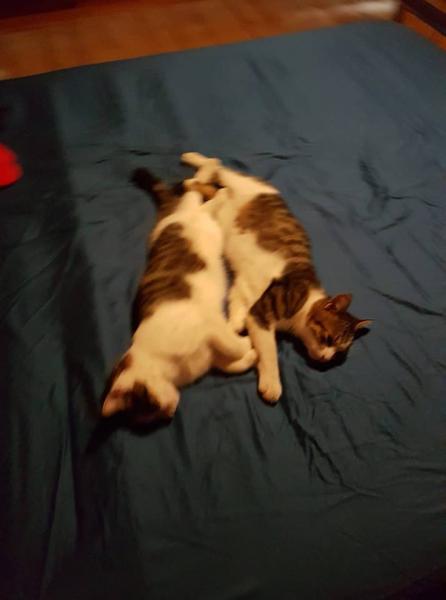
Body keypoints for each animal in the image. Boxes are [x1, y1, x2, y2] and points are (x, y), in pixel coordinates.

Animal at [101, 167, 257, 424]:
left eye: (150, 405)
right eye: (152, 416)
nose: (169, 413)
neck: (173, 369)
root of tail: (168, 217)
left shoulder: (210, 325)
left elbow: (231, 345)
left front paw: (246, 344)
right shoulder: (212, 354)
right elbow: (229, 363)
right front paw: (251, 356)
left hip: (198, 216)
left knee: (198, 193)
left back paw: (213, 179)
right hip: (204, 219)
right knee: (198, 197)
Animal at [181, 152, 371, 404]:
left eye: (339, 352)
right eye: (329, 339)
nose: (326, 358)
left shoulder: (244, 293)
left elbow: (238, 309)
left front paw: (234, 325)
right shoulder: (263, 312)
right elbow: (269, 352)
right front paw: (272, 384)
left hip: (222, 208)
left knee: (213, 189)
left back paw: (191, 183)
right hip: (243, 184)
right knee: (219, 167)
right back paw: (193, 161)